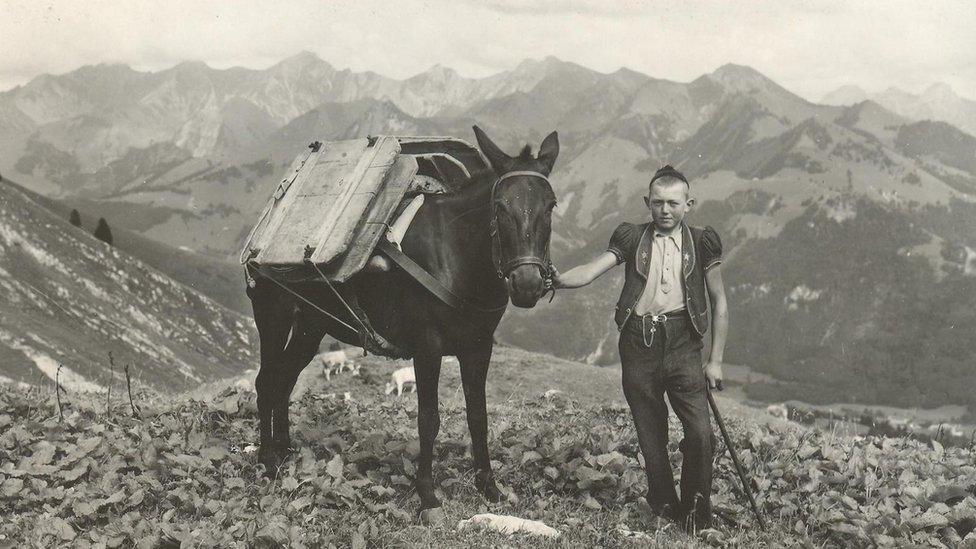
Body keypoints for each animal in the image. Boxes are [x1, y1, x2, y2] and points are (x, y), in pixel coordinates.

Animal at [246, 127, 556, 512]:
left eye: (551, 205)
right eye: (499, 207)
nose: (527, 285)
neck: (453, 255)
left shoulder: (478, 349)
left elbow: (478, 416)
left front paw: (489, 487)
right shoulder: (427, 349)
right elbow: (428, 419)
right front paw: (427, 494)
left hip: (310, 328)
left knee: (285, 380)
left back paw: (285, 450)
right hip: (272, 317)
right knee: (266, 383)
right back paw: (267, 461)